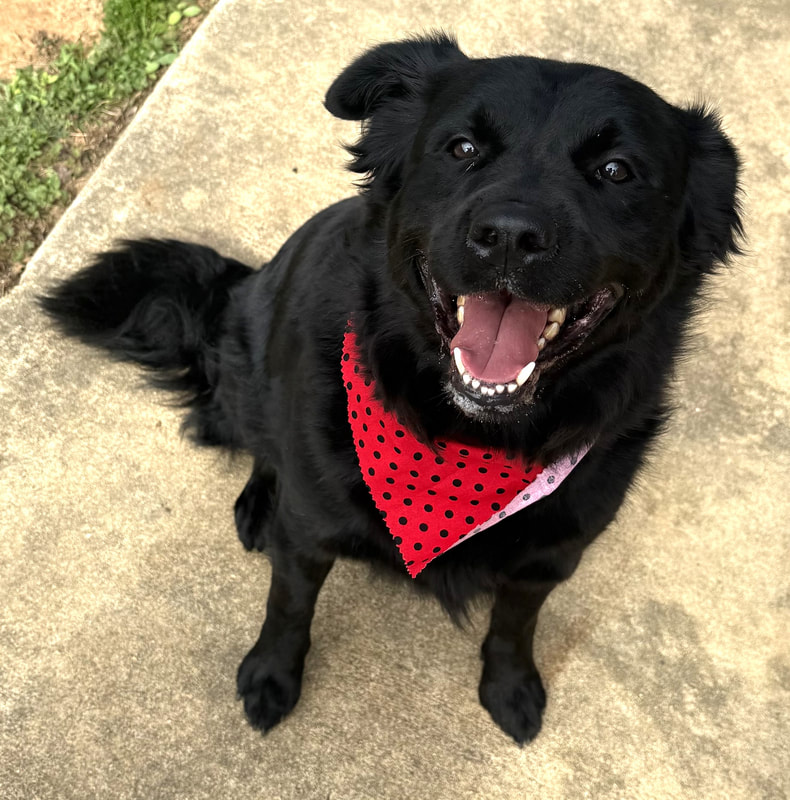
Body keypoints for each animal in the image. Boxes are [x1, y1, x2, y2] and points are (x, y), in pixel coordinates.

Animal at [40, 34, 742, 744]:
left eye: (617, 171)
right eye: (461, 148)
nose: (509, 237)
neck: (468, 441)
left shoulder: (549, 559)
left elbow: (516, 624)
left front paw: (510, 686)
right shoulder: (308, 530)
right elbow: (288, 606)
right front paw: (271, 676)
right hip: (247, 370)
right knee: (263, 443)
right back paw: (260, 501)